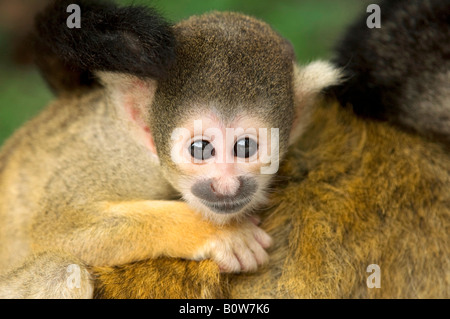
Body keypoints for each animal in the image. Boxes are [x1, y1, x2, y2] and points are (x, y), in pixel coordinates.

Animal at [0, 0, 340, 300]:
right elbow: (58, 227)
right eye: (201, 149)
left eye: (245, 147)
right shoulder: (117, 162)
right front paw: (213, 233)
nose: (226, 186)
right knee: (61, 271)